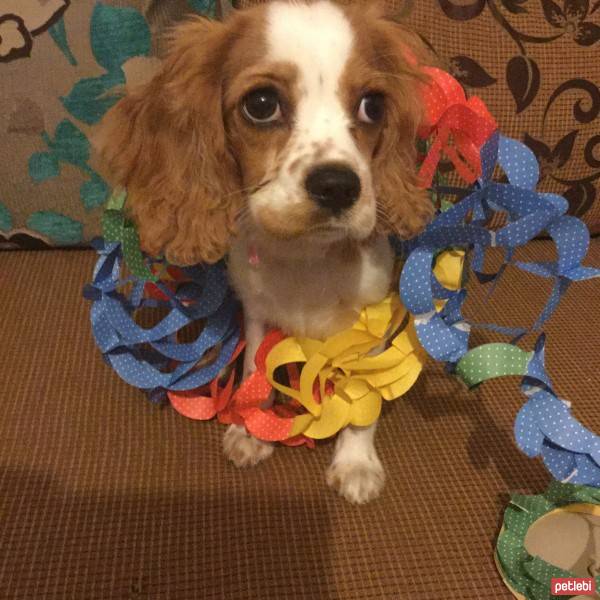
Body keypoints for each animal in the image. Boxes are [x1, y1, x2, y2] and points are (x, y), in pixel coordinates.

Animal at [97, 1, 436, 506]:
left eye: (373, 105)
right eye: (261, 104)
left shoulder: (371, 316)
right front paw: (252, 428)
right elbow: (255, 368)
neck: (307, 257)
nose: (339, 185)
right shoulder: (256, 310)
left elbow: (360, 394)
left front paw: (356, 462)